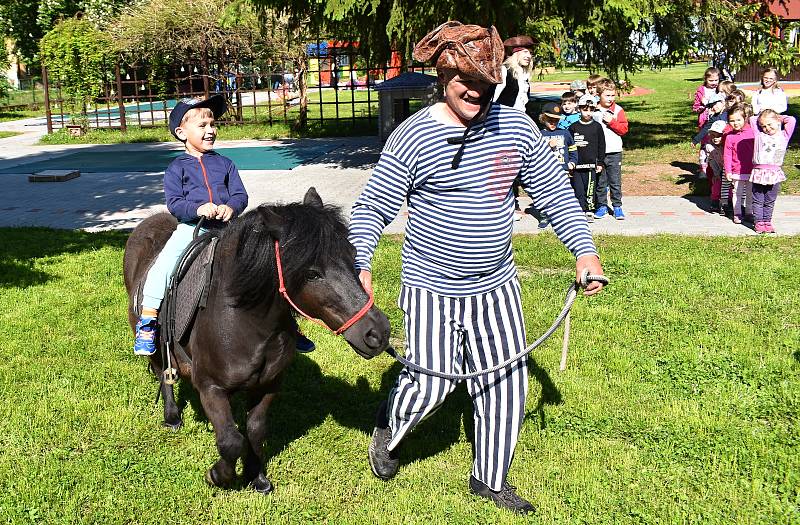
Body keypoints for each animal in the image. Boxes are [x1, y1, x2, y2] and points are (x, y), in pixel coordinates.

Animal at [121, 187, 390, 492]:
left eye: (352, 255)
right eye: (311, 273)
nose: (378, 332)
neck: (245, 321)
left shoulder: (268, 384)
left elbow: (255, 430)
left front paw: (256, 476)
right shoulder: (210, 388)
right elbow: (231, 440)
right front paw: (218, 475)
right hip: (154, 343)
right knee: (162, 371)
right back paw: (172, 416)